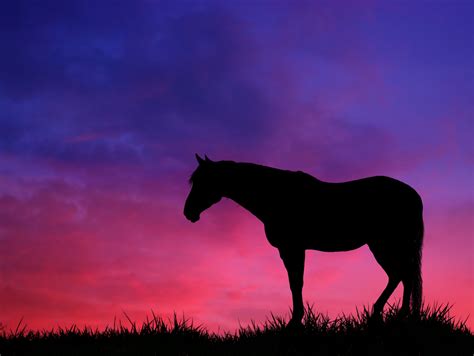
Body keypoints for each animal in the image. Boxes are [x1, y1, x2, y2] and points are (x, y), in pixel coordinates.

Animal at [183, 154, 424, 326]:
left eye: (203, 181)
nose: (188, 212)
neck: (275, 195)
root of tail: (412, 194)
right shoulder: (291, 250)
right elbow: (295, 283)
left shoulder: (293, 248)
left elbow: (296, 283)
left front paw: (295, 321)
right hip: (384, 245)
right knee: (401, 276)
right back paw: (390, 315)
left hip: (386, 244)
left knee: (404, 275)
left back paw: (396, 315)